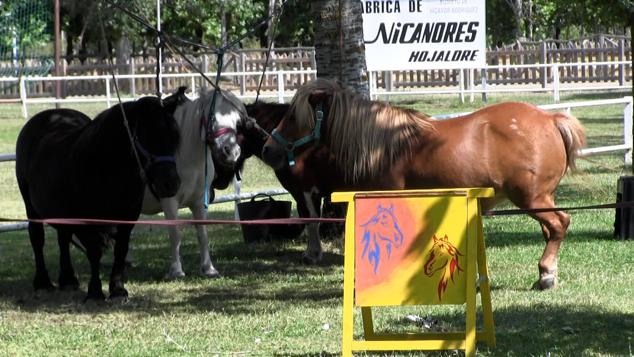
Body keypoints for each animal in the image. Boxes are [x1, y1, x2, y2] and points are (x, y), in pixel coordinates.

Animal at [16, 96, 179, 298]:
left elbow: (121, 250)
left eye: (174, 138)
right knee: (37, 238)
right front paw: (95, 292)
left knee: (63, 238)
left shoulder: (127, 218)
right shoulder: (86, 221)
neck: (106, 168)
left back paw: (68, 280)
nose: (171, 183)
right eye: (148, 137)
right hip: (30, 205)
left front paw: (117, 289)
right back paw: (43, 282)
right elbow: (94, 251)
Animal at [141, 86, 247, 278]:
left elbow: (202, 234)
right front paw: (176, 270)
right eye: (212, 118)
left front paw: (208, 268)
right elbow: (175, 235)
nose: (231, 152)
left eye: (237, 121)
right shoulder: (169, 202)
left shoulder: (199, 202)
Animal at [262, 78, 584, 290]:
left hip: (533, 199)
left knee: (559, 224)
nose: (268, 149)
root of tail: (549, 119)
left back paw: (545, 275)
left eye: (293, 117)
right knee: (551, 230)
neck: (384, 146)